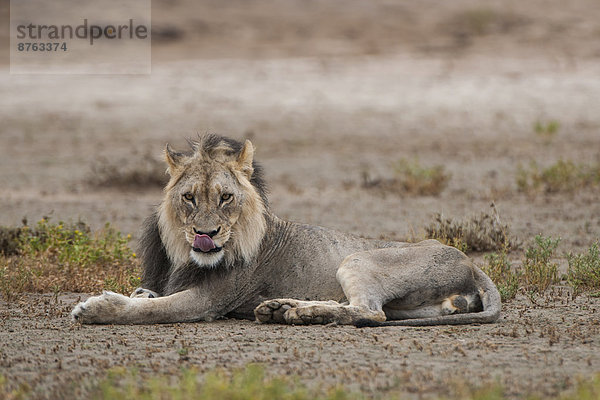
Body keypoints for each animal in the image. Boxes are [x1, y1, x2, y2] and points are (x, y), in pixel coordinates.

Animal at [70, 133, 502, 326]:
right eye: (189, 198)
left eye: (225, 197)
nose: (206, 234)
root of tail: (472, 264)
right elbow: (147, 295)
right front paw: (137, 292)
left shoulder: (208, 302)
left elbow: (151, 309)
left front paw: (97, 308)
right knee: (369, 310)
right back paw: (282, 308)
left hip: (357, 258)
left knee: (370, 313)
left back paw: (300, 313)